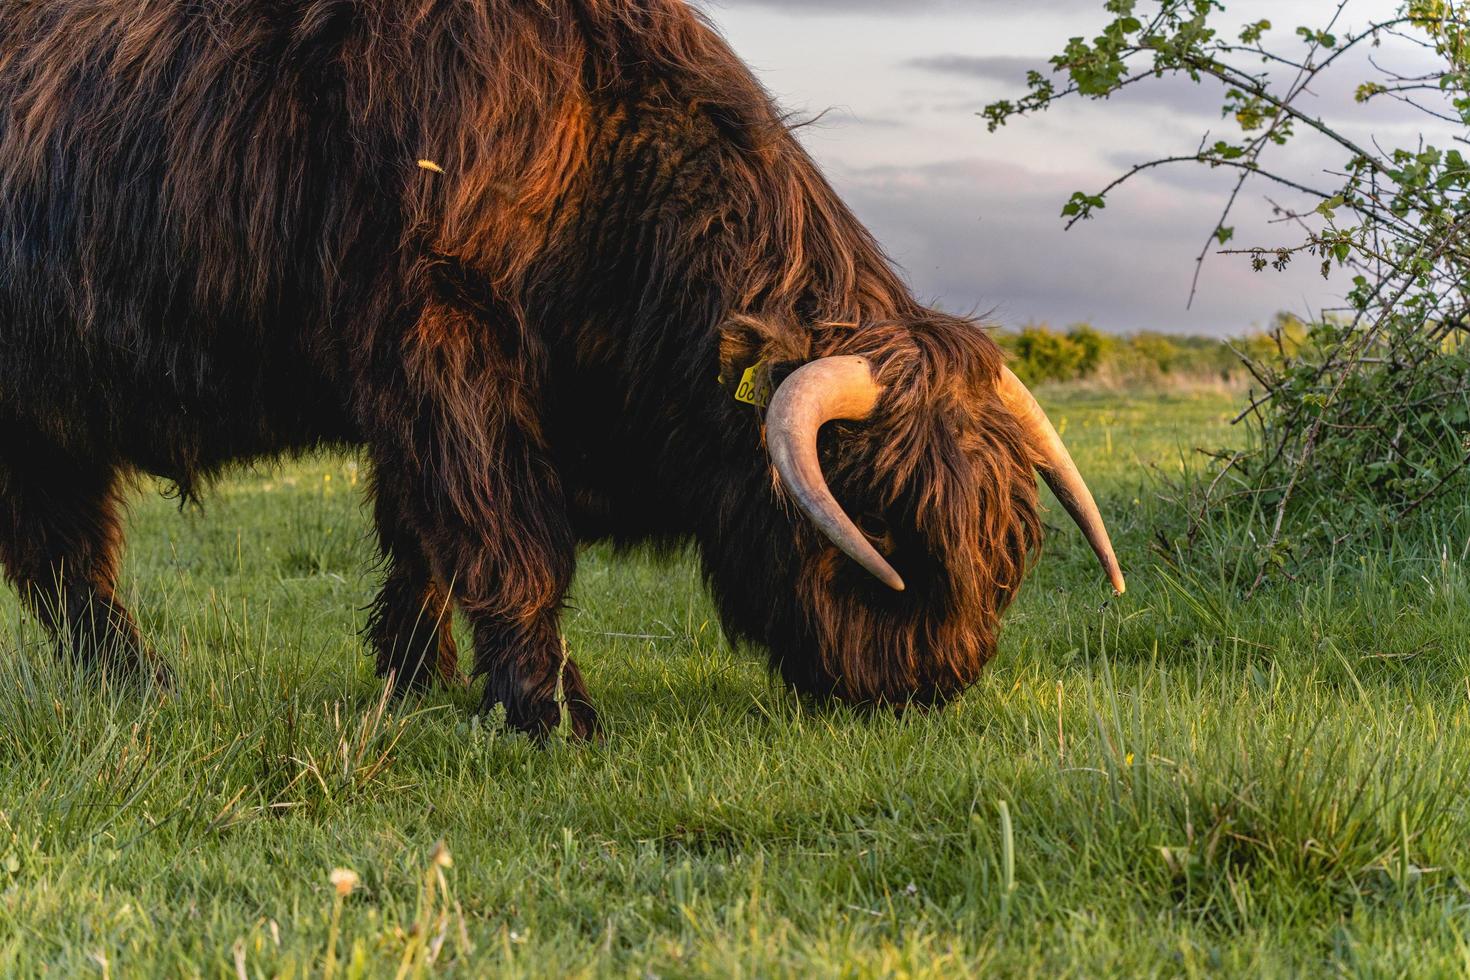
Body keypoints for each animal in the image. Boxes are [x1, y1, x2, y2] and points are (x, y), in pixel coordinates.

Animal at [0, 0, 1123, 734]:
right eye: (881, 530)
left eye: (1006, 545)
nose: (938, 676)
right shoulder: (440, 341)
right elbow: (502, 531)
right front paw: (550, 708)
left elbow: (422, 540)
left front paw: (415, 678)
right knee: (68, 557)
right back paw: (144, 685)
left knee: (64, 556)